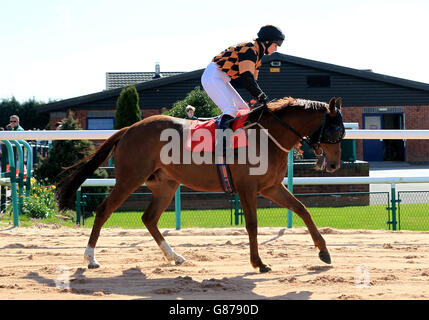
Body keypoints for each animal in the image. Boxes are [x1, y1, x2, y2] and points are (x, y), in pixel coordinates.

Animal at [56, 95, 344, 272]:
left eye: (341, 132)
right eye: (334, 131)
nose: (334, 165)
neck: (268, 135)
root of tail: (129, 128)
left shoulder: (271, 186)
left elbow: (302, 209)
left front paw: (324, 251)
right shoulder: (247, 188)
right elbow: (252, 225)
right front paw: (259, 263)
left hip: (165, 185)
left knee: (149, 218)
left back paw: (174, 256)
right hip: (129, 178)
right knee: (104, 210)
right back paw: (91, 257)